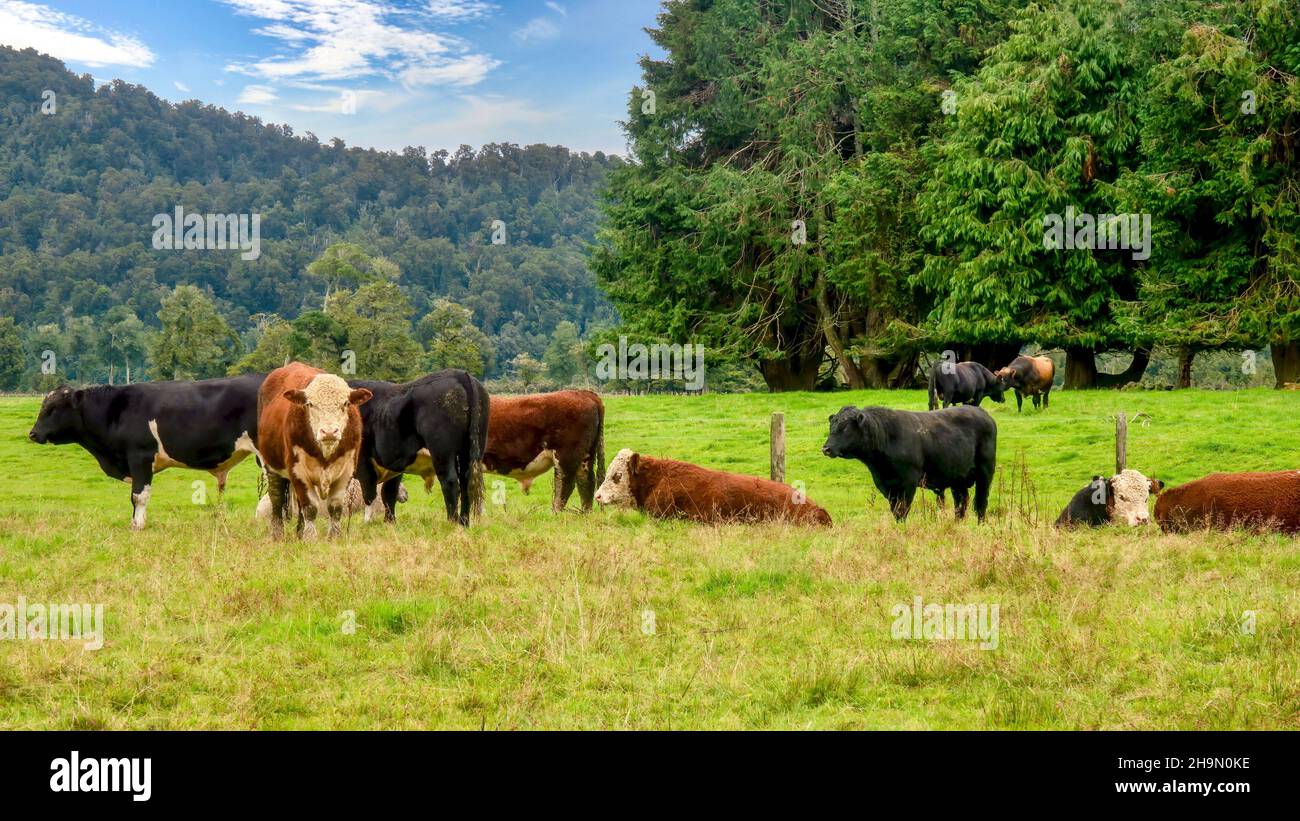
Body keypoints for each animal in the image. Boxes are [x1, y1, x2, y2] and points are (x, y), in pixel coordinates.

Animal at [258, 363, 372, 539]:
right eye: (310, 404)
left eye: (345, 403)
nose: (329, 432)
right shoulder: (298, 472)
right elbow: (310, 508)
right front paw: (310, 537)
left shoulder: (347, 471)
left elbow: (335, 508)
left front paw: (334, 537)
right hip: (271, 467)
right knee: (276, 499)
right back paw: (277, 534)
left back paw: (299, 533)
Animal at [350, 370, 488, 527]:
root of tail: (460, 374)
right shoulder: (394, 465)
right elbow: (389, 492)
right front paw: (389, 523)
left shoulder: (362, 459)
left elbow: (369, 493)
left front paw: (368, 522)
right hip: (471, 449)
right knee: (466, 484)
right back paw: (463, 523)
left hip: (442, 451)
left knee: (450, 482)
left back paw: (451, 523)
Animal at [822, 404, 997, 522]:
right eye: (831, 427)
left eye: (845, 428)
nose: (826, 449)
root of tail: (982, 413)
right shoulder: (886, 486)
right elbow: (896, 511)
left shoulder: (908, 482)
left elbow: (903, 509)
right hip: (957, 478)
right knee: (961, 503)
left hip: (985, 472)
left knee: (981, 502)